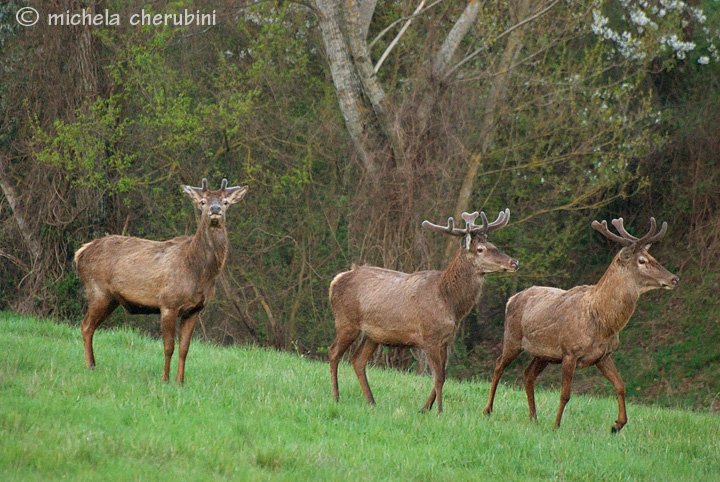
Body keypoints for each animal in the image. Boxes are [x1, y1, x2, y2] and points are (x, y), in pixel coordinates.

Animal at [73, 178, 248, 384]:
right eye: (202, 201)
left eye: (225, 202)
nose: (215, 209)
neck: (198, 272)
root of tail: (81, 252)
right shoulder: (168, 303)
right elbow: (168, 347)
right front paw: (165, 379)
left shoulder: (195, 310)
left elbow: (184, 348)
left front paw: (180, 381)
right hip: (97, 290)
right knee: (85, 325)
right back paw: (91, 365)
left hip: (111, 299)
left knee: (90, 325)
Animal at [330, 209, 520, 412]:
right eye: (480, 249)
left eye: (492, 244)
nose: (514, 262)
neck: (451, 304)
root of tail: (335, 280)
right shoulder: (430, 336)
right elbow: (438, 377)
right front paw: (439, 411)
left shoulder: (446, 340)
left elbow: (443, 376)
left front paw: (425, 408)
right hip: (346, 321)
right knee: (333, 353)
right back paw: (336, 397)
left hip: (372, 335)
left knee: (357, 360)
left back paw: (371, 401)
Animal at [484, 217, 680, 432]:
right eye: (642, 260)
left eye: (652, 256)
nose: (674, 278)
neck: (602, 322)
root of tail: (511, 299)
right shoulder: (570, 352)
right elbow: (565, 394)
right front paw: (556, 425)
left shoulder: (604, 355)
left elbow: (621, 385)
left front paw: (618, 424)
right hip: (512, 337)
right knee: (499, 365)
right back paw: (488, 410)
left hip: (543, 354)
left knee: (528, 374)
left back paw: (533, 418)